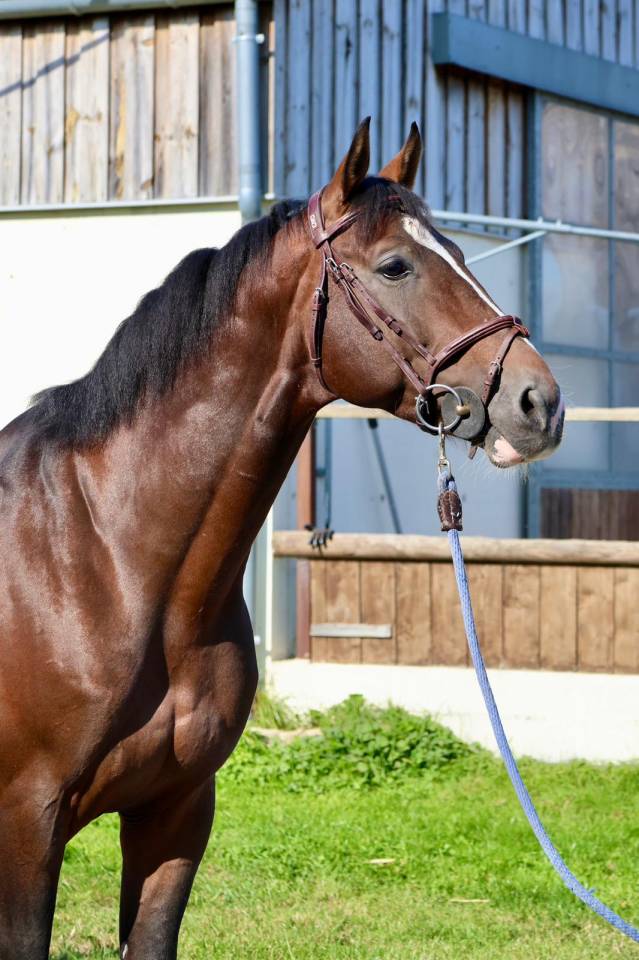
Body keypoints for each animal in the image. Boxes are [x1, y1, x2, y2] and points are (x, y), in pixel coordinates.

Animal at [0, 118, 563, 959]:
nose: (539, 403)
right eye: (394, 265)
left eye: (461, 254)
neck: (107, 563)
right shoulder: (27, 830)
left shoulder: (175, 815)